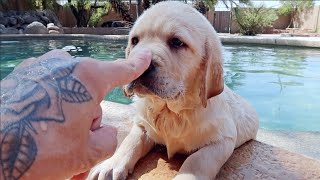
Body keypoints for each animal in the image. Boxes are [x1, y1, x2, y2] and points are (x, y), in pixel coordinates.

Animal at [87, 1, 258, 180]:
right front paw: (110, 166)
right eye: (135, 40)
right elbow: (130, 141)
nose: (138, 65)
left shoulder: (223, 138)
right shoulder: (142, 124)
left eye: (177, 42)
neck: (170, 112)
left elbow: (197, 160)